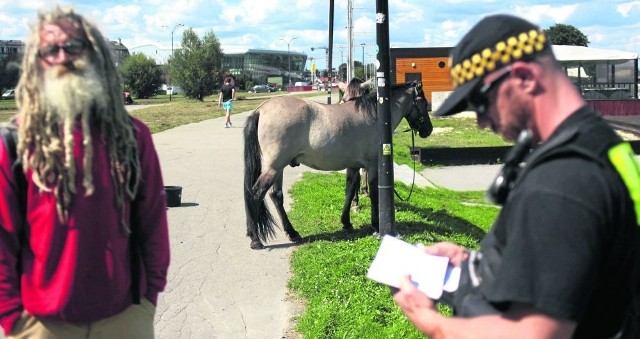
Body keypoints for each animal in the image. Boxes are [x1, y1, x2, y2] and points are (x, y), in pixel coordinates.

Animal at [242, 80, 432, 250]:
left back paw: (292, 233)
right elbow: (373, 193)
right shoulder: (372, 165)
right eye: (424, 103)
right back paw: (255, 239)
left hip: (278, 168)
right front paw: (376, 225)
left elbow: (349, 191)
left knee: (276, 196)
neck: (376, 117)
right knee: (255, 194)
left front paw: (346, 222)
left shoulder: (354, 166)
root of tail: (261, 110)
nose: (428, 130)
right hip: (274, 168)